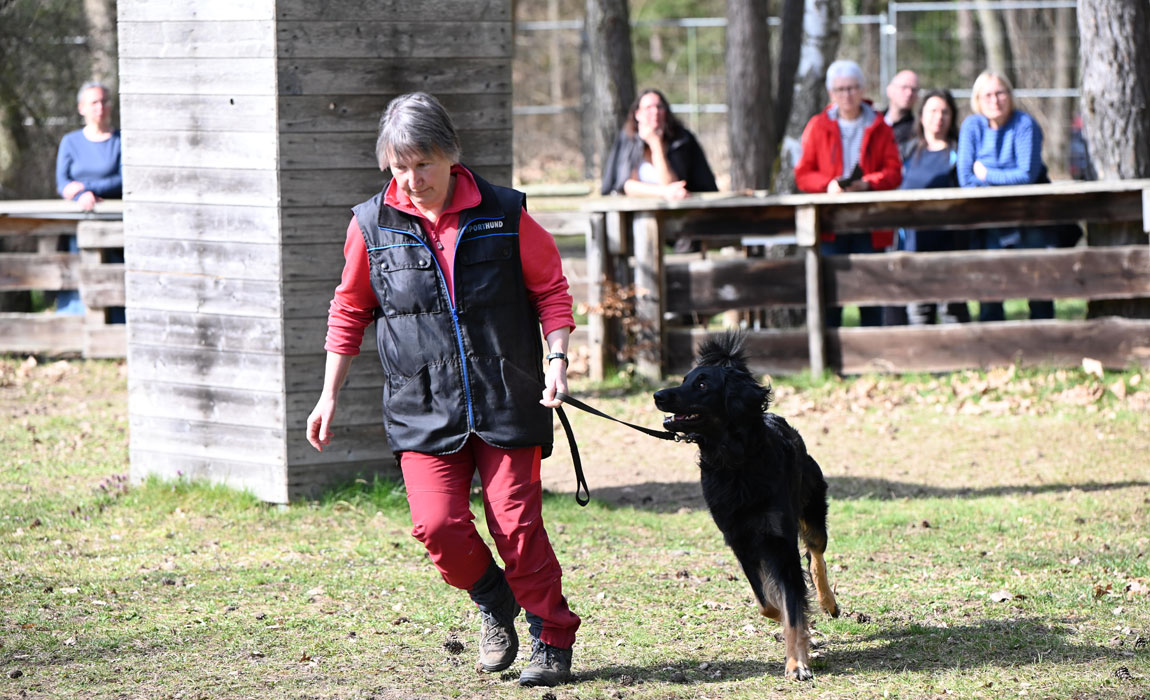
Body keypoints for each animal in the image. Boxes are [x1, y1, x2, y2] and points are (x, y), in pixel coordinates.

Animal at [653, 333, 841, 680]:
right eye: (684, 379)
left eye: (702, 384)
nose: (658, 395)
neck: (735, 461)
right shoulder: (739, 540)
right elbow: (768, 601)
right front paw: (799, 638)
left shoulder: (780, 542)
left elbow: (792, 600)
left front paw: (797, 664)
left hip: (812, 505)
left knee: (816, 554)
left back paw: (828, 602)